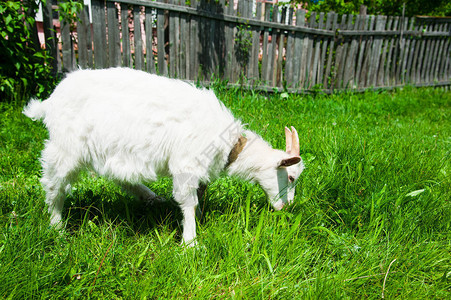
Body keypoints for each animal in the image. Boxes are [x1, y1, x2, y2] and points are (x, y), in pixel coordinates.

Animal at [23, 68, 306, 246]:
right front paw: (191, 243)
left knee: (120, 178)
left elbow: (198, 196)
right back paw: (57, 228)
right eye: (291, 176)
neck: (229, 144)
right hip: (65, 149)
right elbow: (188, 202)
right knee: (53, 186)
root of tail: (49, 102)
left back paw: (150, 197)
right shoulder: (186, 163)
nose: (287, 207)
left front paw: (197, 223)